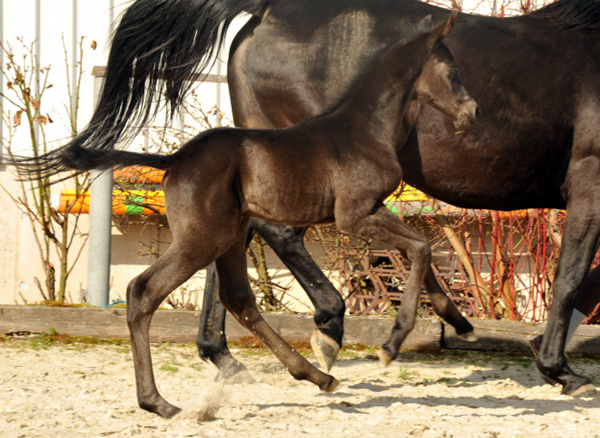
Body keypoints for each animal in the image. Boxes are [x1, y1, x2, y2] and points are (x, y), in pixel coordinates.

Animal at [25, 13, 478, 418]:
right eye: (452, 69)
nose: (471, 112)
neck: (365, 129)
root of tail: (175, 160)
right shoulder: (355, 214)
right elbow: (420, 247)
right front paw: (392, 344)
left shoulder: (375, 209)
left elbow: (418, 251)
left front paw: (459, 322)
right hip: (202, 238)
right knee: (144, 291)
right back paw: (159, 403)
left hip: (228, 236)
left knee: (238, 298)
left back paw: (316, 376)